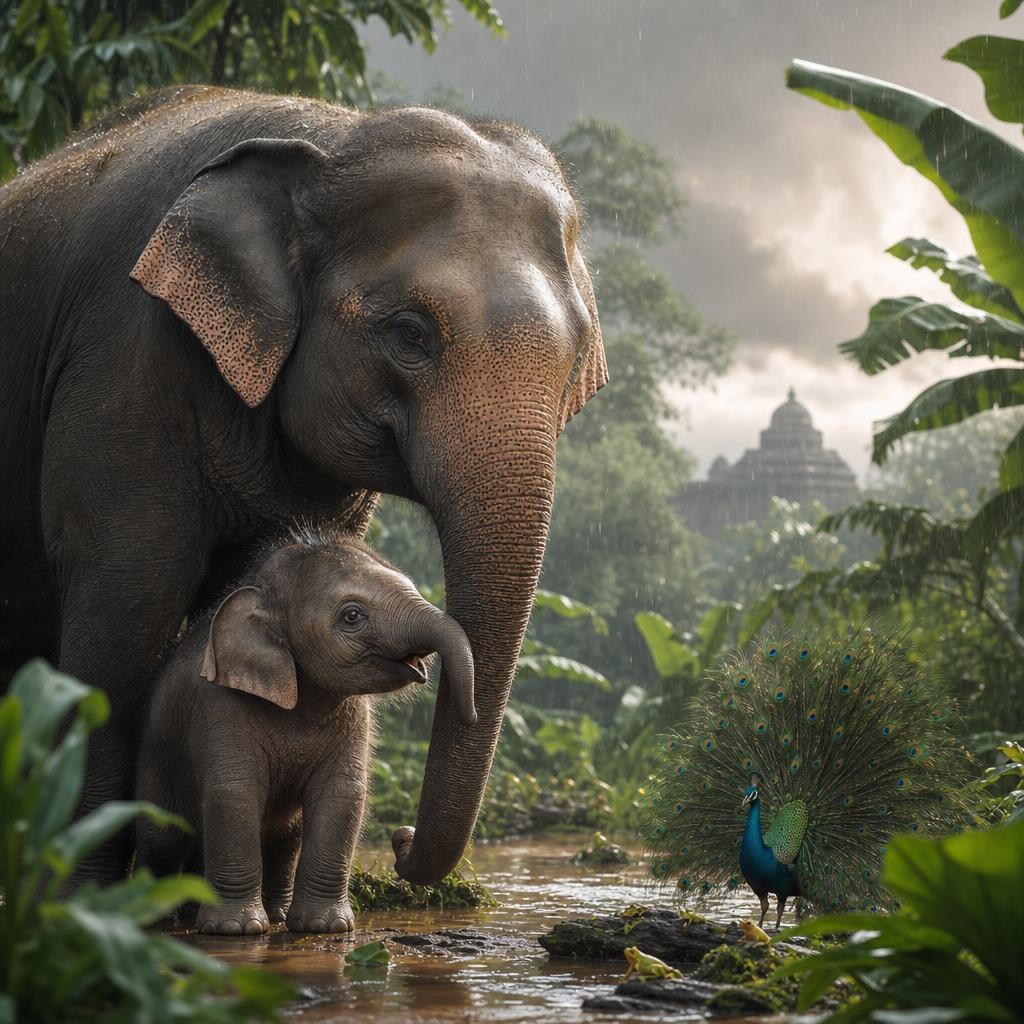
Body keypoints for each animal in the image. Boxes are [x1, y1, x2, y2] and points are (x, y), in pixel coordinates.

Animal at [0, 84, 605, 886]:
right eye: (409, 334)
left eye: (576, 359)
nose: (399, 841)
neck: (333, 137)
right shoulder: (124, 360)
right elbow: (124, 607)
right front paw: (88, 898)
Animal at [134, 530, 474, 935]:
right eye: (352, 616)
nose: (402, 836)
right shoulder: (218, 706)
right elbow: (234, 792)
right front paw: (236, 930)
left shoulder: (354, 717)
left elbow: (342, 795)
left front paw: (326, 927)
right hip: (156, 757)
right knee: (164, 835)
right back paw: (158, 917)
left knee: (284, 835)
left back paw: (272, 914)